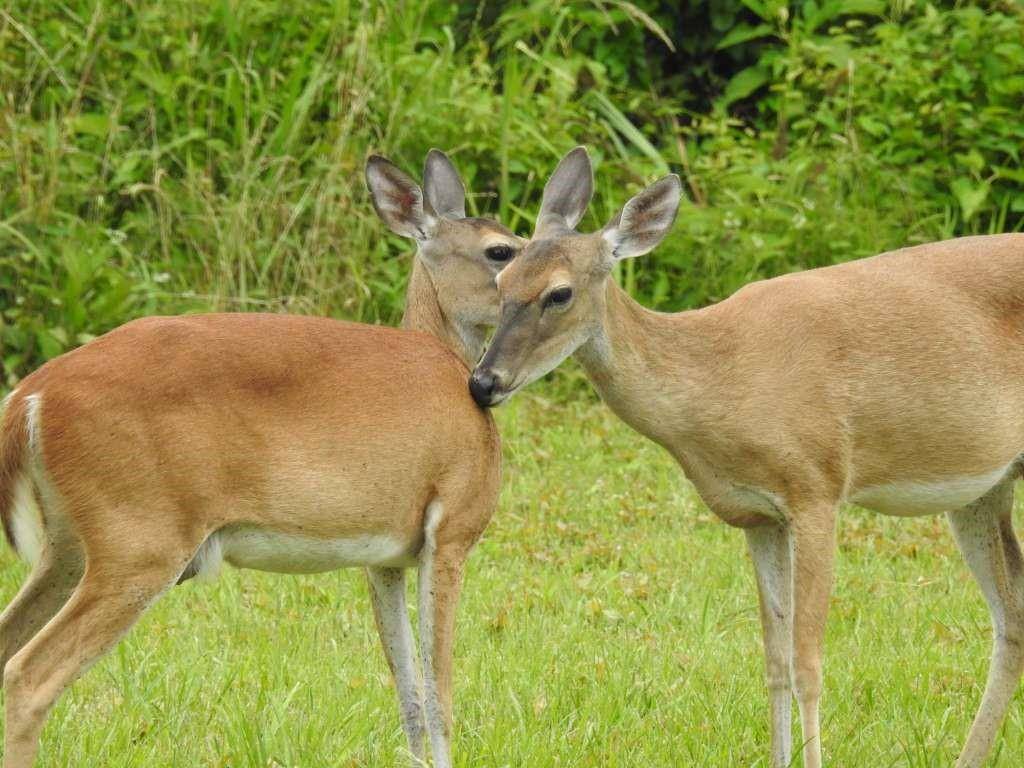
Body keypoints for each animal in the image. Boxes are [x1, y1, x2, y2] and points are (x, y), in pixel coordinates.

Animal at [0, 150, 528, 768]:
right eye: (501, 250)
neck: (449, 363)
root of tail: (32, 395)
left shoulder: (386, 558)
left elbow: (410, 696)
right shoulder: (451, 532)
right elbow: (440, 692)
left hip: (69, 547)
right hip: (138, 543)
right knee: (29, 676)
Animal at [468, 145, 1024, 768]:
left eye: (559, 293)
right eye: (502, 275)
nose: (483, 382)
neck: (720, 377)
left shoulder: (817, 487)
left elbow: (808, 663)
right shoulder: (758, 515)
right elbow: (775, 661)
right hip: (984, 490)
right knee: (1013, 618)